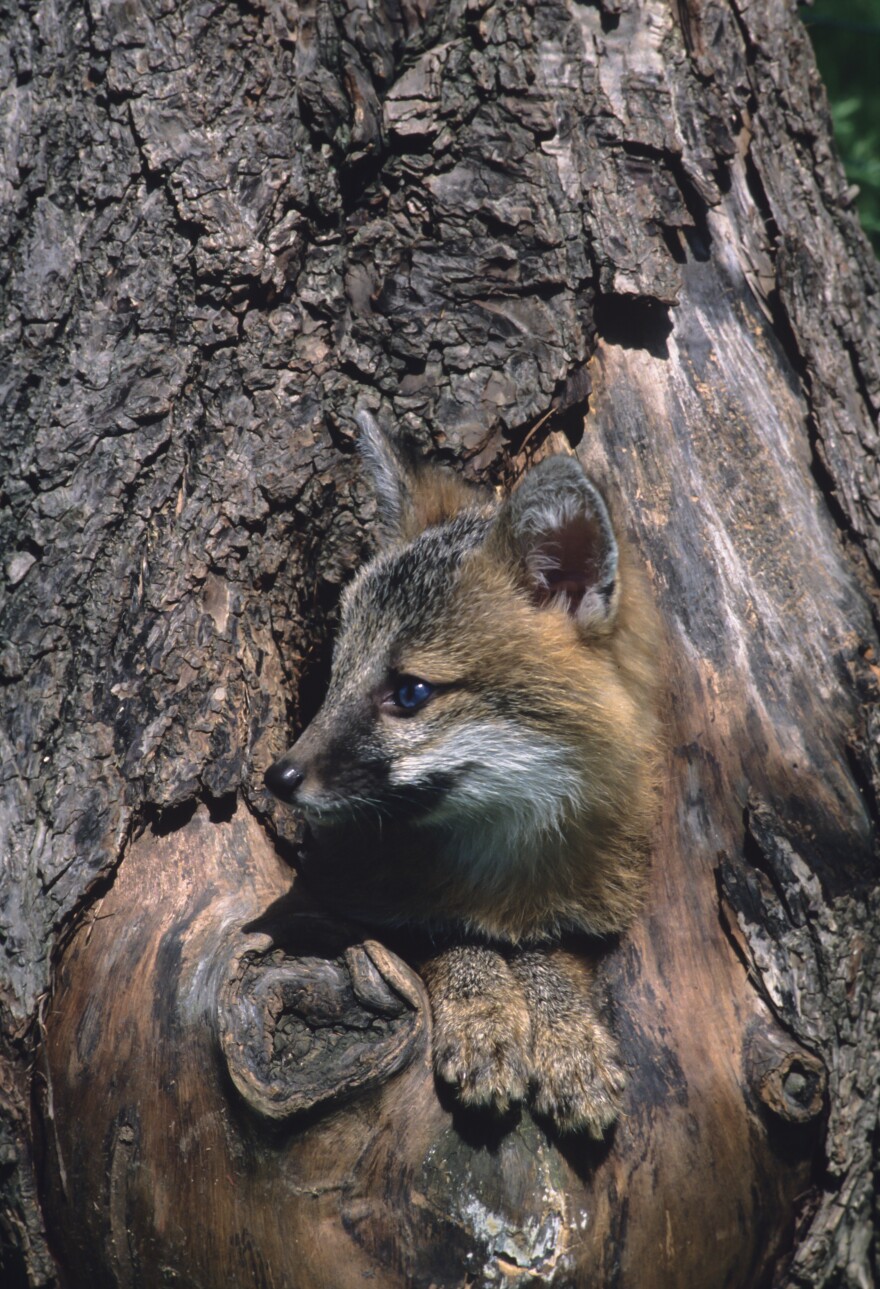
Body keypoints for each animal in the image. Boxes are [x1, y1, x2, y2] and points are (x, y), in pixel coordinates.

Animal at [265, 415, 664, 1139]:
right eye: (332, 678)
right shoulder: (360, 897)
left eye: (410, 692)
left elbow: (551, 957)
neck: (497, 878)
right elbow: (444, 937)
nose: (278, 776)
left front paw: (568, 1039)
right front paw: (484, 1014)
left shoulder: (598, 913)